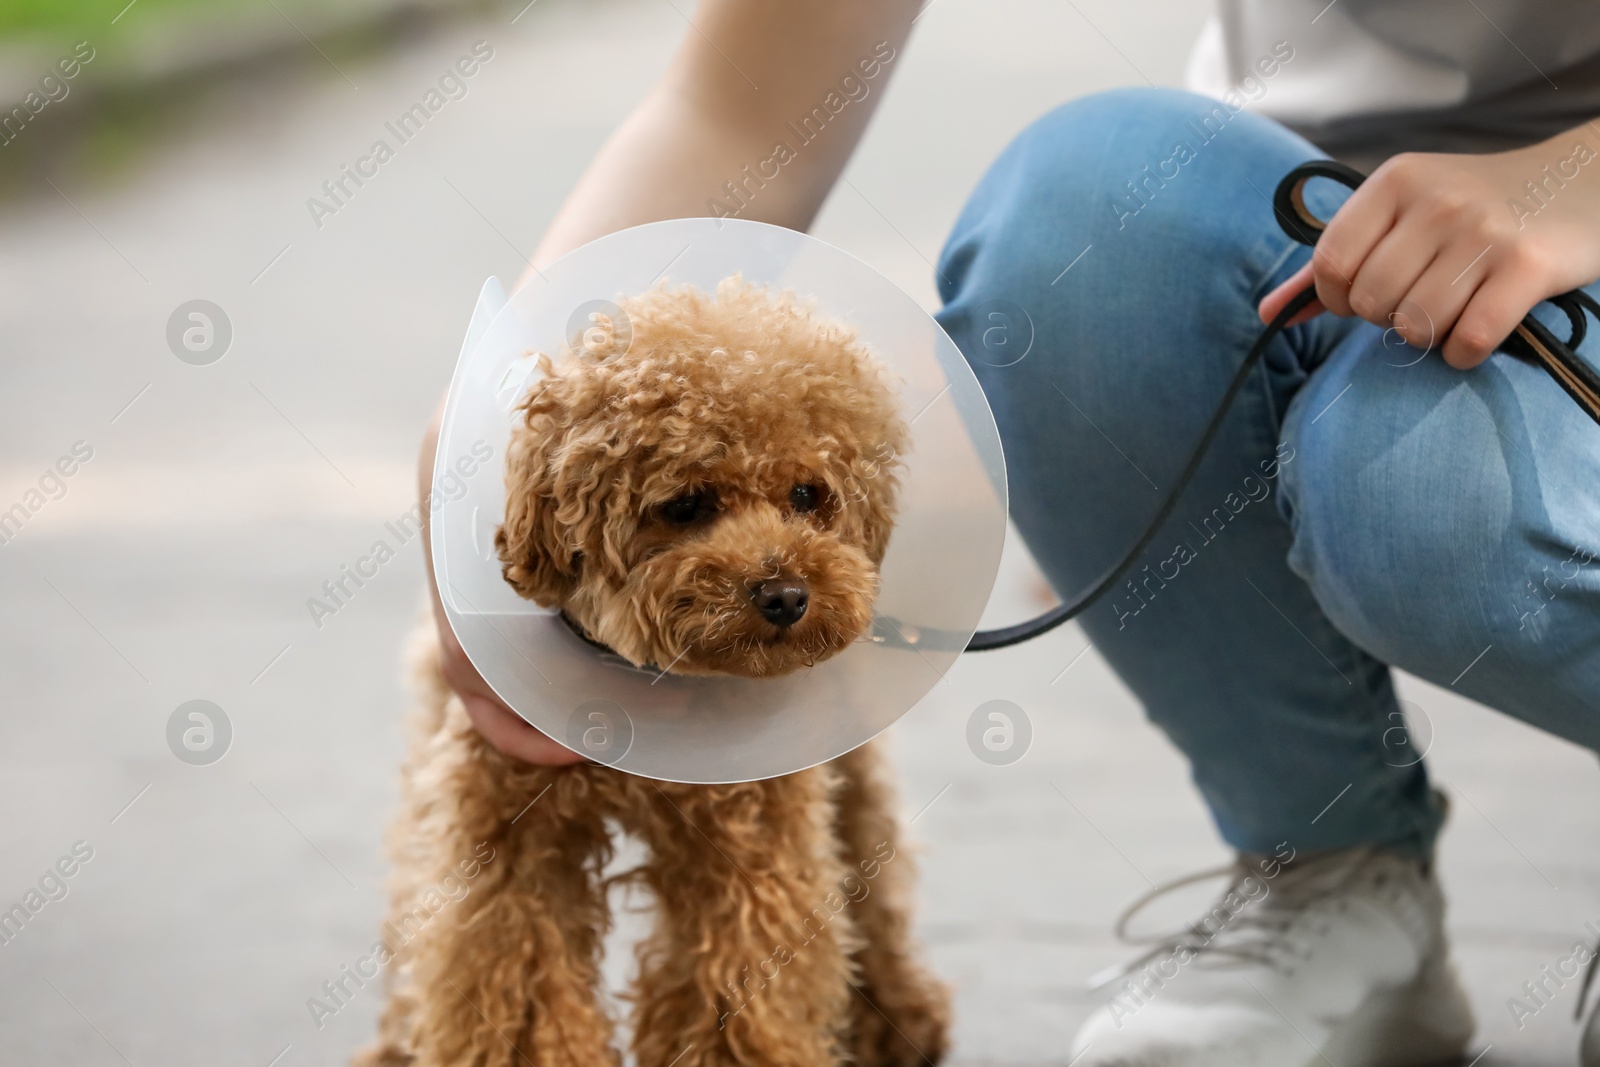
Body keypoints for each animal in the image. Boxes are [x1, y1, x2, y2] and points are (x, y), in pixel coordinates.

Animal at [353, 278, 947, 1067]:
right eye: (686, 504)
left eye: (807, 495)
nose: (785, 595)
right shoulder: (508, 828)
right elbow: (510, 969)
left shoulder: (749, 840)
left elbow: (739, 977)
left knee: (868, 855)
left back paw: (898, 1017)